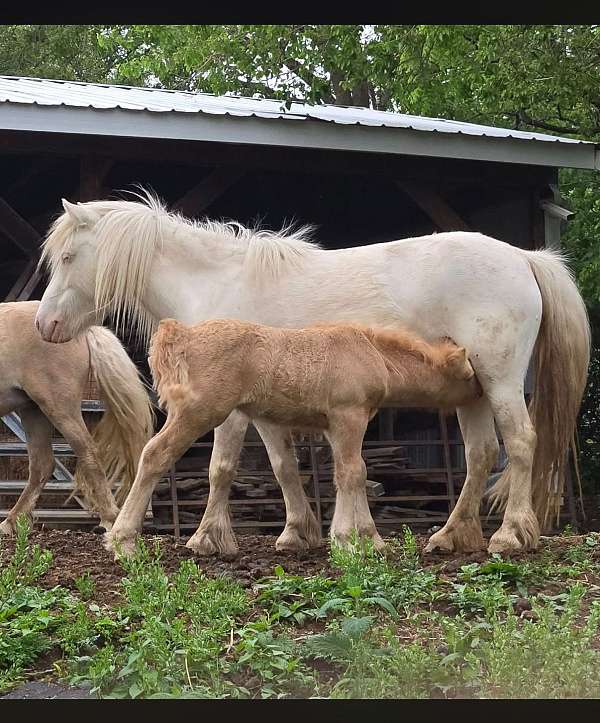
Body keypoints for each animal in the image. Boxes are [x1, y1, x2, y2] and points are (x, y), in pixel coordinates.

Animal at [0, 300, 154, 535]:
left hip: (60, 408)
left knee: (89, 453)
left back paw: (109, 519)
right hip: (34, 410)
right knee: (42, 465)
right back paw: (11, 521)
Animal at [104, 318, 482, 554]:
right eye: (469, 376)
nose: (482, 392)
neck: (371, 352)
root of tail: (183, 334)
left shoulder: (325, 425)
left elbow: (337, 473)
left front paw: (359, 537)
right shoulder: (349, 416)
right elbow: (354, 472)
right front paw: (357, 539)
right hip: (199, 412)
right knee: (155, 454)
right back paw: (123, 540)